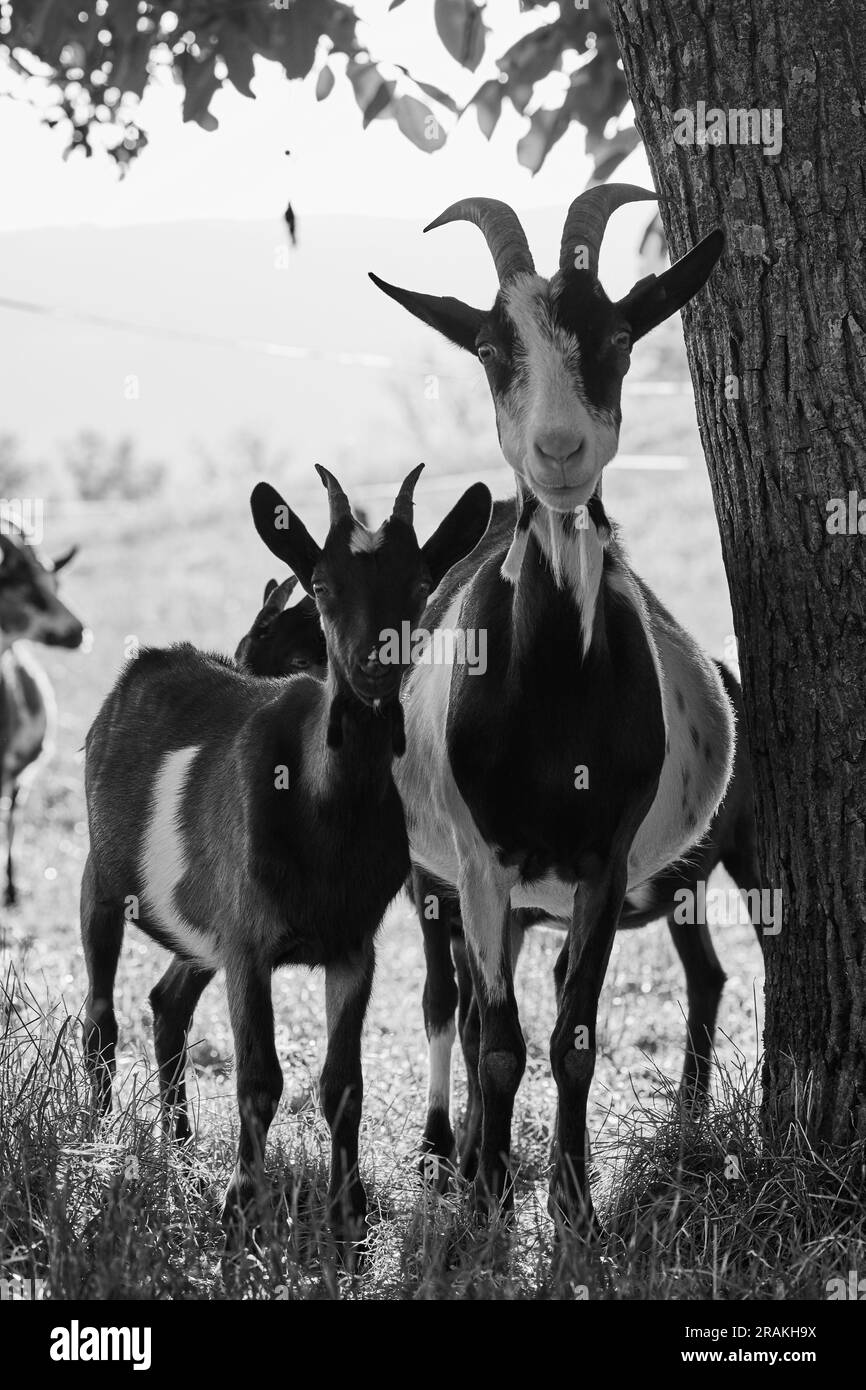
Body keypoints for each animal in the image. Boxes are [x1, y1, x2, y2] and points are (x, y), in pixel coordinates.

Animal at [83, 461, 492, 1245]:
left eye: (421, 583)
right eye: (324, 584)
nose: (372, 667)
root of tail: (145, 664)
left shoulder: (352, 945)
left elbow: (343, 1083)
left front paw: (349, 1215)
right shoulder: (250, 945)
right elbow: (259, 1077)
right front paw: (243, 1208)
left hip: (201, 928)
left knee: (168, 1003)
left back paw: (181, 1150)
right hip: (100, 878)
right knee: (99, 1016)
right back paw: (93, 1143)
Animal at [369, 182, 739, 1228]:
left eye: (616, 336)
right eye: (493, 349)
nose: (560, 450)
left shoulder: (606, 864)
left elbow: (574, 1037)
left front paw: (574, 1207)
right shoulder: (481, 860)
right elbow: (499, 1041)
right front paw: (491, 1196)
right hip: (448, 882)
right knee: (455, 1008)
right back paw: (457, 1157)